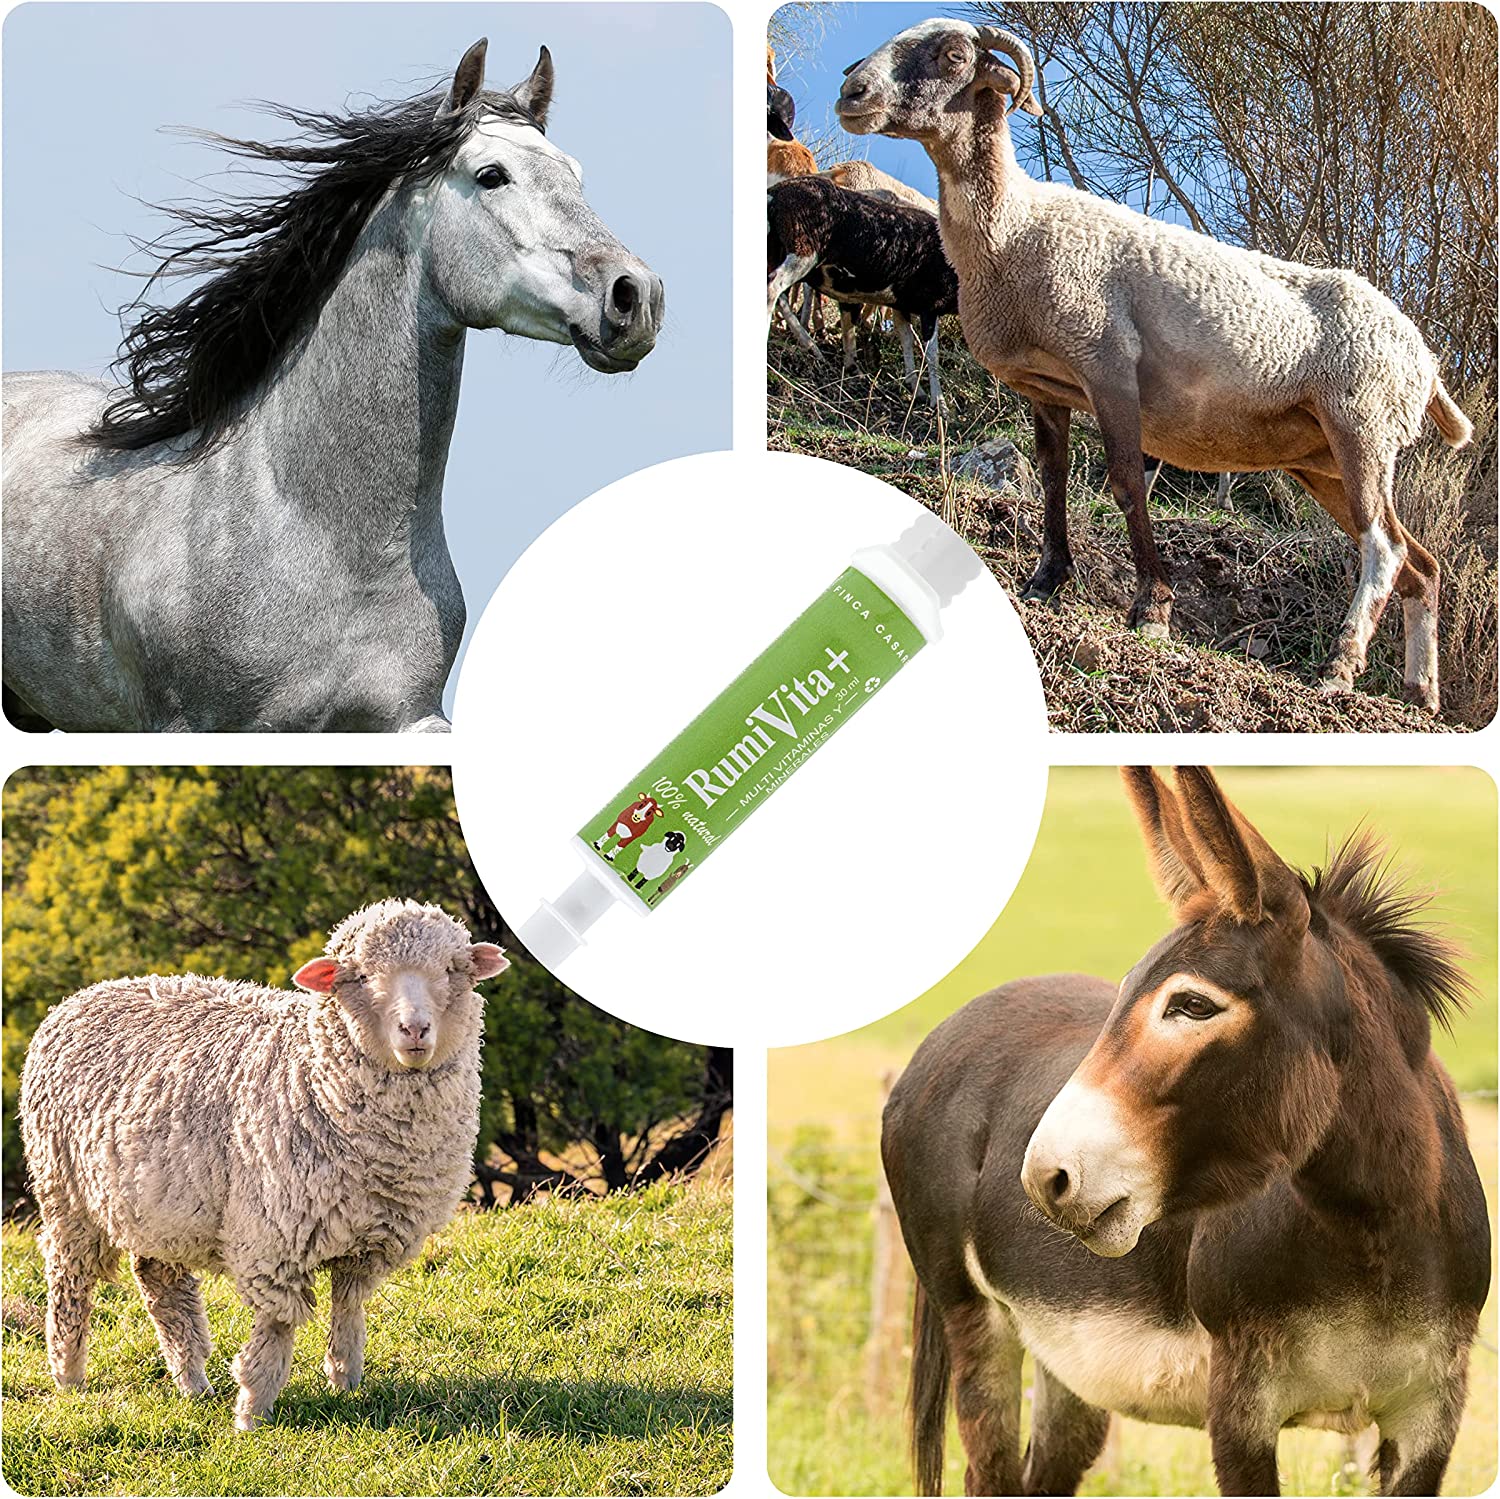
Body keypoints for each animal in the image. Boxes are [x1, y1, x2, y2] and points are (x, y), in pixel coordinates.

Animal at [18, 899, 509, 1431]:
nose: (414, 1030)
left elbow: (349, 1306)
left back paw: (192, 1380)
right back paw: (69, 1375)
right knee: (69, 1278)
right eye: (359, 976)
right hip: (64, 1192)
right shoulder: (274, 1236)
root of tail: (82, 995)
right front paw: (253, 1411)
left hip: (158, 1203)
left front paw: (345, 1380)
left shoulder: (371, 1236)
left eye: (452, 970)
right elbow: (277, 1325)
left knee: (161, 1285)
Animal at [768, 175, 957, 413]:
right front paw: (939, 404)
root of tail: (774, 194)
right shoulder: (929, 303)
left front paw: (915, 388)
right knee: (773, 287)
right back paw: (808, 345)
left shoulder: (901, 304)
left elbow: (905, 339)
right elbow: (931, 354)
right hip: (802, 249)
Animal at [838, 20, 1473, 712]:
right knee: (1420, 564)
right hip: (1322, 458)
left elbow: (1123, 483)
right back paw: (1421, 691)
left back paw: (1340, 664)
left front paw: (1152, 609)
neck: (1014, 224)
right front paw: (1046, 579)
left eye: (953, 56)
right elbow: (1053, 477)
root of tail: (1427, 361)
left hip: (1362, 423)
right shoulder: (1044, 386)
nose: (852, 92)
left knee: (1383, 548)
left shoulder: (1107, 362)